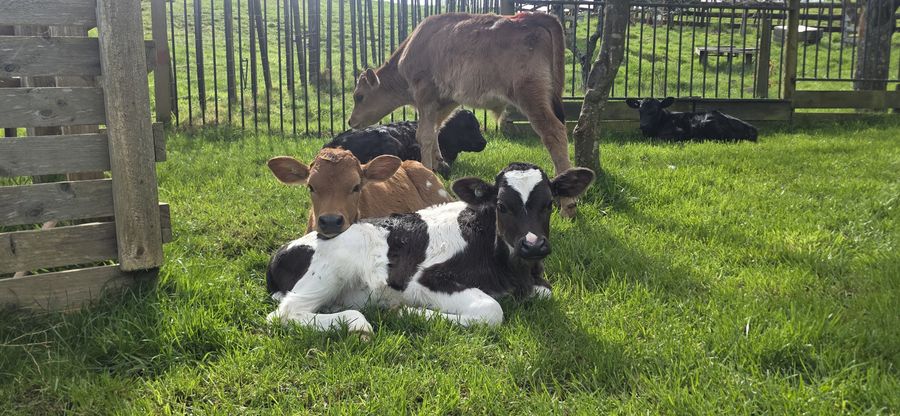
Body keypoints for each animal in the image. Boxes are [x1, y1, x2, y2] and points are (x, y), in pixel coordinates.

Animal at [265, 163, 595, 335]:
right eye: (502, 205)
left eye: (549, 204)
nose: (533, 244)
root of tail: (280, 252)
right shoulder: (422, 280)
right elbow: (492, 310)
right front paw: (406, 311)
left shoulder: (536, 281)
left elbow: (544, 292)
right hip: (330, 270)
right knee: (286, 313)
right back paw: (360, 324)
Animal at [346, 12, 581, 218]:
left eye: (359, 96)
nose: (351, 120)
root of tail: (536, 17)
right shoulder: (446, 100)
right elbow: (436, 129)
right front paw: (439, 163)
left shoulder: (425, 96)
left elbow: (425, 135)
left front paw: (427, 168)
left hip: (531, 97)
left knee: (554, 133)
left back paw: (567, 205)